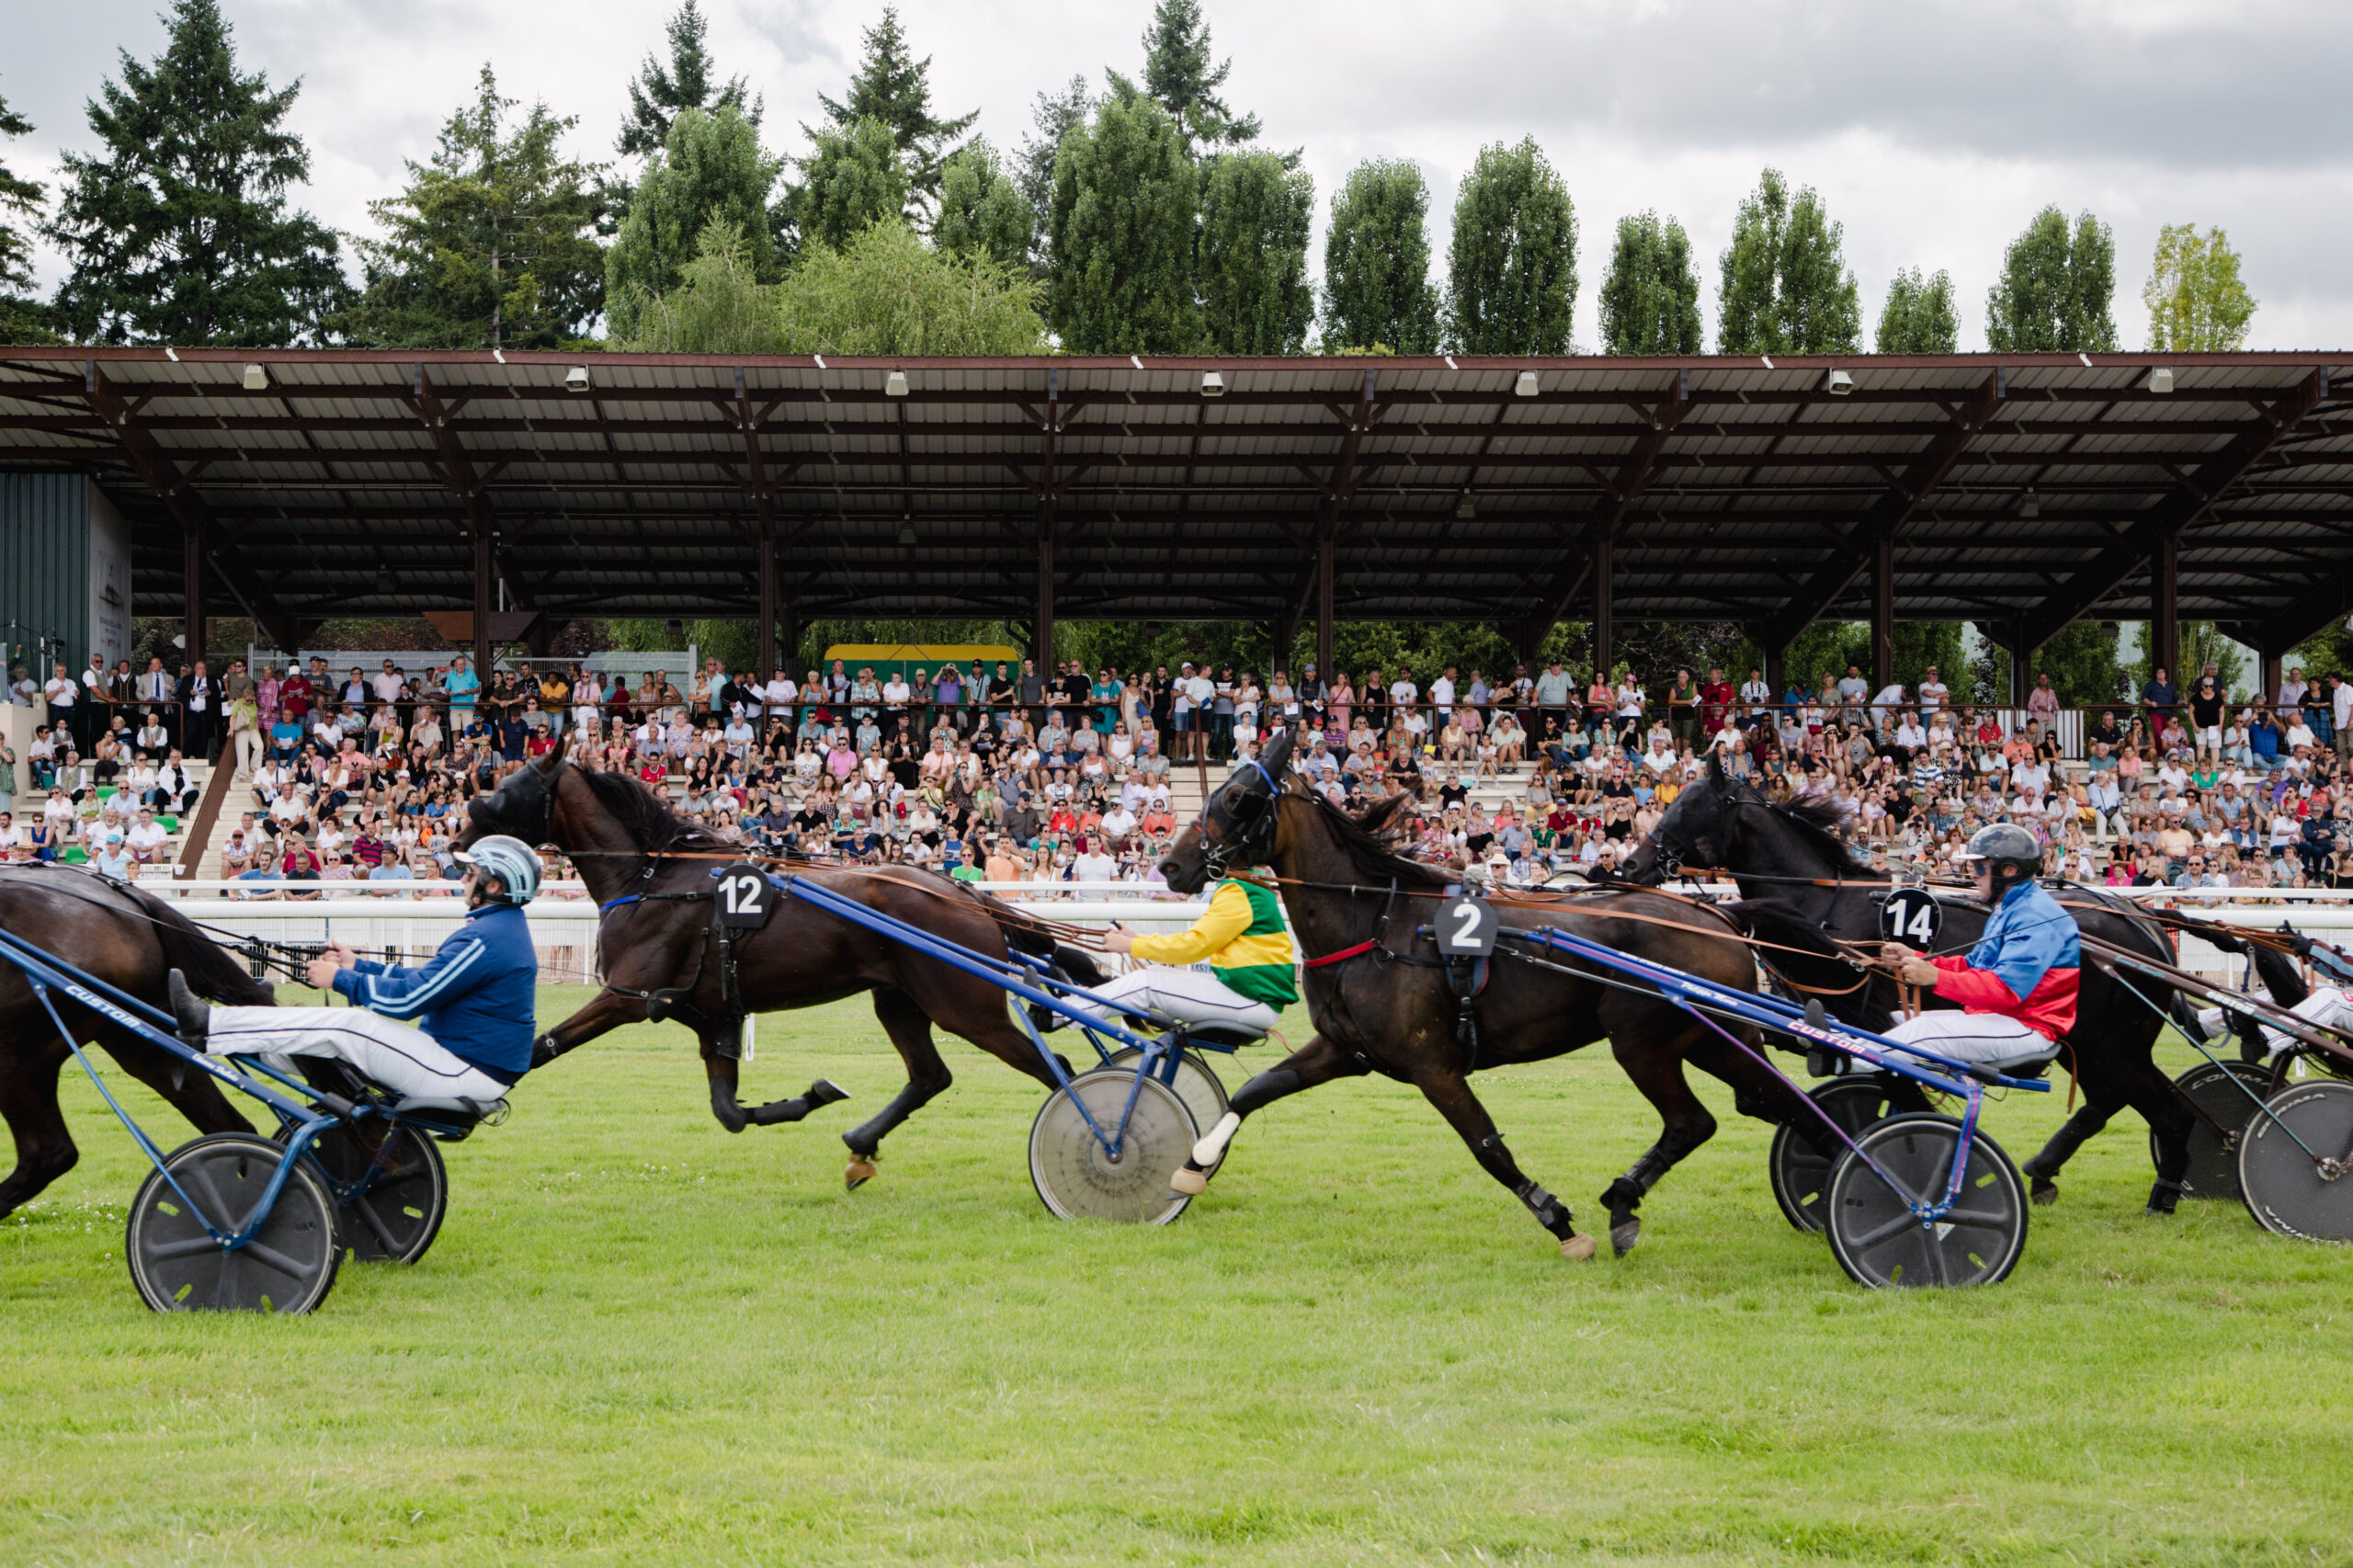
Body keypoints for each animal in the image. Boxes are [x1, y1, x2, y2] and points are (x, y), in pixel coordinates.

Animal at [463, 753, 1106, 1176]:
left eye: (507, 789)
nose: (464, 832)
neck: (654, 878)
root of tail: (965, 895)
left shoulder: (626, 997)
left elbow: (541, 1047)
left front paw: (470, 1098)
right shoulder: (711, 1014)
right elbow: (728, 1111)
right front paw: (812, 1096)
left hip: (966, 1009)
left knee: (1058, 1072)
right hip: (899, 1001)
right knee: (930, 1076)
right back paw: (860, 1143)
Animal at [1148, 724, 1825, 1252]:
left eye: (1238, 796)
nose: (1170, 865)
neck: (1376, 924)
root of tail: (1716, 915)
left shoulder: (1434, 1065)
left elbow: (1487, 1147)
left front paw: (1559, 1222)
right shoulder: (1344, 1051)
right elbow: (1253, 1092)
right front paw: (1191, 1166)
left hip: (1643, 1042)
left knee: (1699, 1120)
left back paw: (1631, 1202)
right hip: (1712, 1039)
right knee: (1764, 1107)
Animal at [1609, 757, 2192, 1205]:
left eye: (1690, 807)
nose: (1630, 867)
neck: (1824, 906)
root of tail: (2143, 925)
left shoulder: (1867, 1021)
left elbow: (1893, 1090)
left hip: (2110, 1048)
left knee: (2163, 1110)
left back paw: (2162, 1192)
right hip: (2098, 1050)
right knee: (2123, 1103)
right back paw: (2057, 1172)